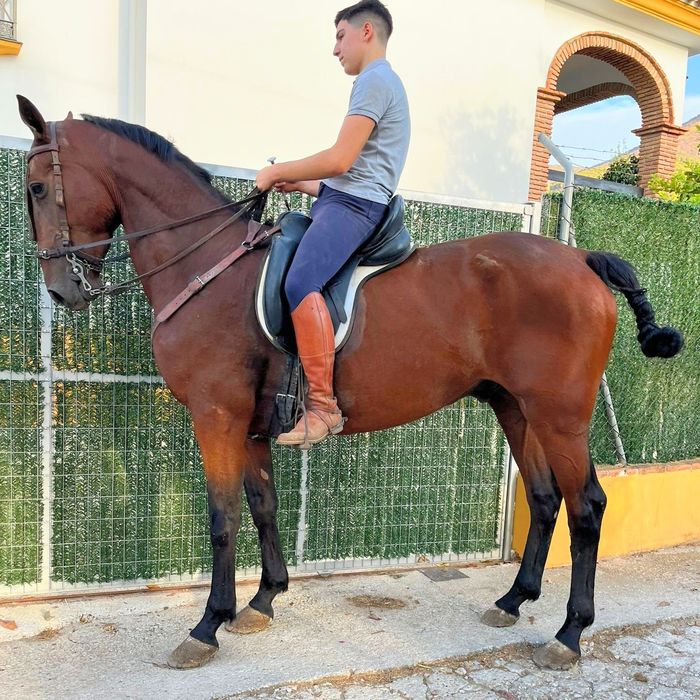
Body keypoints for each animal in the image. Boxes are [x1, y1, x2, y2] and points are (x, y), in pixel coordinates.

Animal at [17, 96, 683, 671]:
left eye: (39, 187)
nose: (62, 290)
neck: (208, 268)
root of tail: (583, 259)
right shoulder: (252, 427)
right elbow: (262, 506)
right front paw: (263, 600)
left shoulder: (217, 416)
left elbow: (222, 517)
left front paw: (207, 625)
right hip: (516, 409)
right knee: (544, 499)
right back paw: (513, 600)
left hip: (561, 416)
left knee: (587, 507)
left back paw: (570, 633)